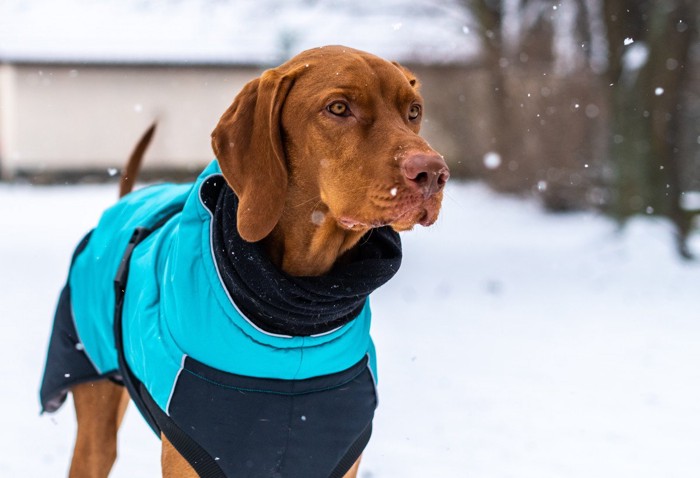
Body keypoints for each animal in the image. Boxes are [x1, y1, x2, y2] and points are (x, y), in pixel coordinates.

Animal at [41, 45, 452, 478]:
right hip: (94, 415)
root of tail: (126, 202)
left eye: (413, 111)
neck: (297, 319)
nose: (434, 173)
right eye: (338, 108)